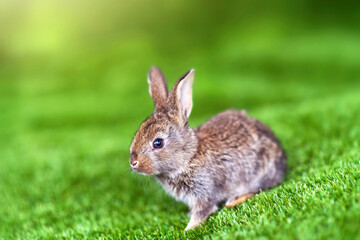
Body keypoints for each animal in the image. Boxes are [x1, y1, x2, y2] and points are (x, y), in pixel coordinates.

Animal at [129, 67, 286, 231]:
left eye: (158, 143)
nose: (133, 162)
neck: (189, 157)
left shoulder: (204, 193)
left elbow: (203, 211)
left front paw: (188, 229)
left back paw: (235, 199)